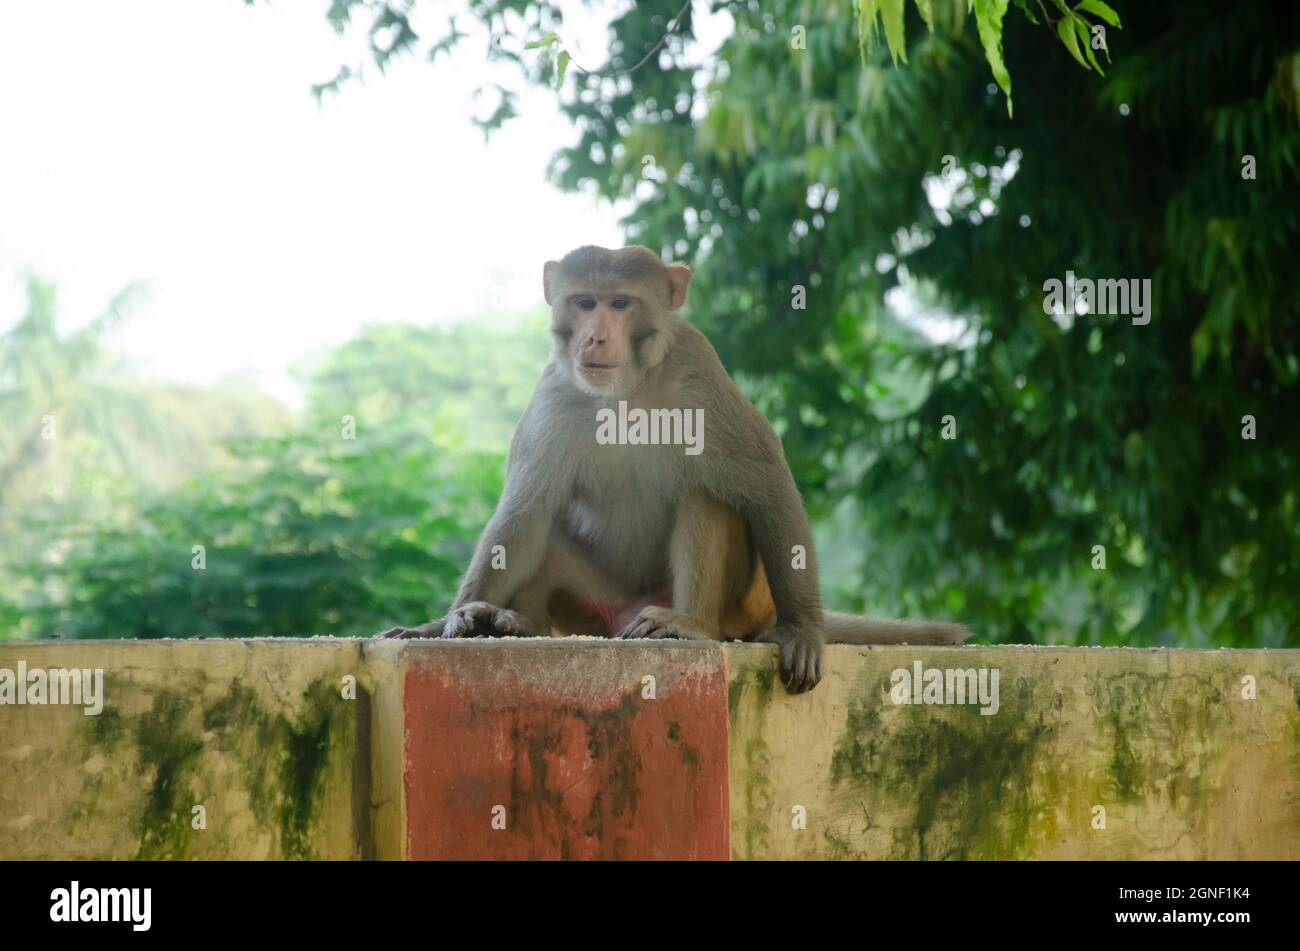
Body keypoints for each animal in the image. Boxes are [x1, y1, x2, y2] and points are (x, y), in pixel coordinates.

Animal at [379, 245, 972, 691]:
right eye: (585, 302)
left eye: (621, 303)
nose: (595, 335)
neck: (626, 393)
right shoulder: (555, 393)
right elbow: (525, 514)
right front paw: (447, 621)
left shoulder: (700, 374)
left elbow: (767, 485)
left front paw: (803, 630)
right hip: (596, 608)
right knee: (545, 536)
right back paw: (516, 623)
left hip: (730, 608)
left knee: (707, 495)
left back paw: (692, 626)